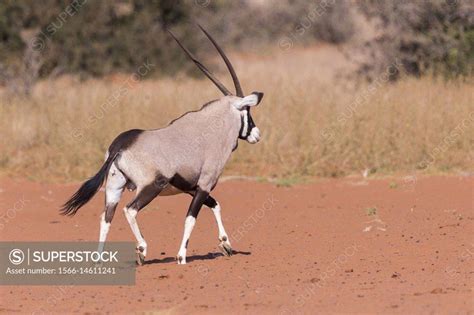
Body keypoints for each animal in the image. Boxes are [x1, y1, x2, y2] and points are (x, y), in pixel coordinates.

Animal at [60, 24, 262, 266]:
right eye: (247, 112)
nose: (256, 134)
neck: (211, 128)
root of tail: (120, 145)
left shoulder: (191, 187)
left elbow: (215, 204)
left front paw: (226, 244)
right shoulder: (204, 184)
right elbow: (191, 218)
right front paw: (182, 256)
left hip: (114, 186)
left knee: (106, 217)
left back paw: (100, 259)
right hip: (151, 186)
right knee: (130, 210)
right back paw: (141, 250)